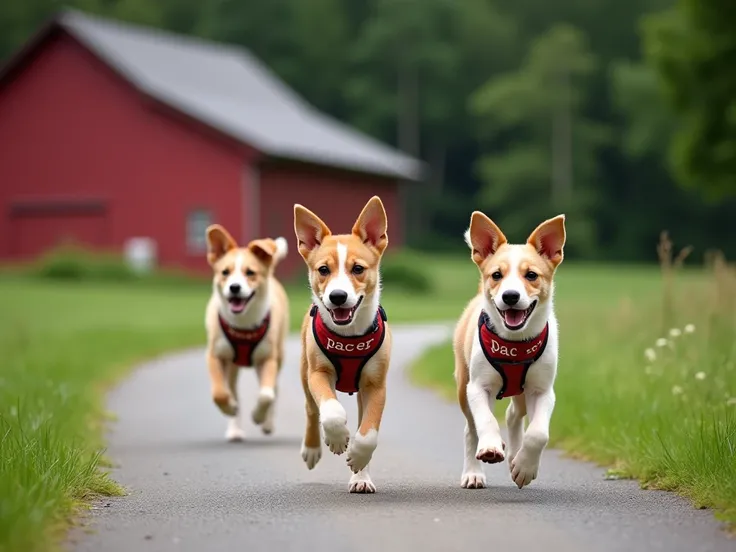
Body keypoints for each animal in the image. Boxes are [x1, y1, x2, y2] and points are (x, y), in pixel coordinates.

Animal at [206, 222, 292, 442]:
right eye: (225, 272)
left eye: (250, 272)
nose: (234, 288)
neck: (243, 324)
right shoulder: (215, 355)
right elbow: (219, 393)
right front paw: (230, 408)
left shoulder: (268, 358)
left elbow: (267, 395)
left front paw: (258, 416)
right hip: (232, 366)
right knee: (233, 390)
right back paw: (234, 428)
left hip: (278, 354)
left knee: (274, 389)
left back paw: (267, 423)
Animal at [294, 196, 394, 494]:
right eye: (323, 270)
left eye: (358, 269)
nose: (338, 296)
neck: (349, 336)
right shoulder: (318, 373)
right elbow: (331, 411)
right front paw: (337, 438)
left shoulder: (376, 384)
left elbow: (368, 432)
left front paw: (358, 459)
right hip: (304, 371)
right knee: (311, 409)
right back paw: (313, 448)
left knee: (362, 420)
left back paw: (361, 477)